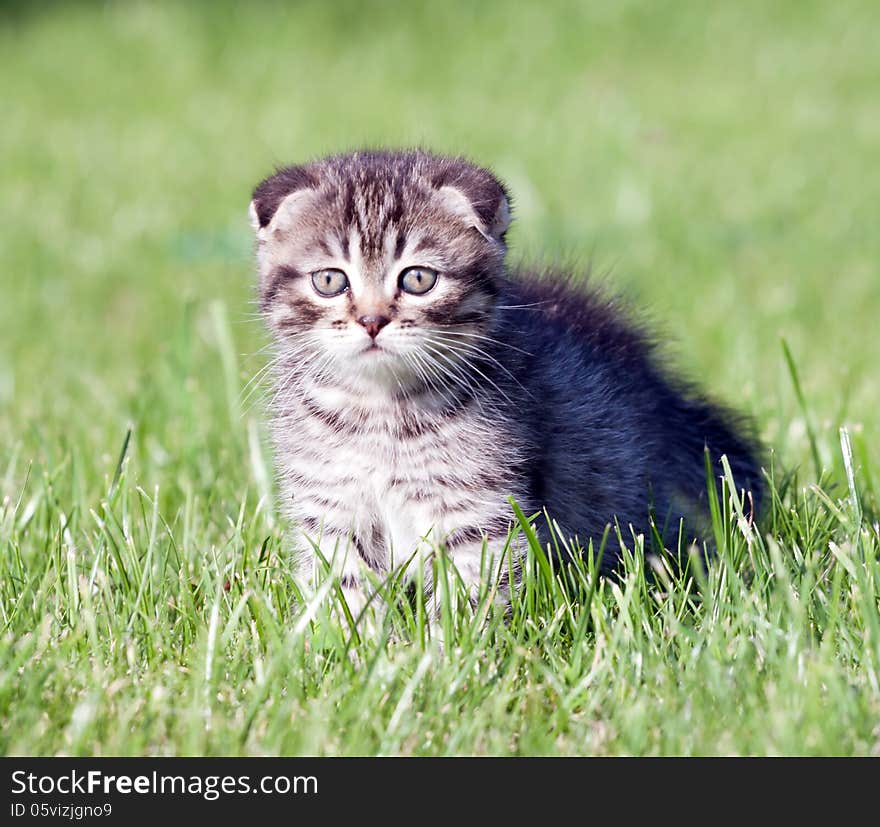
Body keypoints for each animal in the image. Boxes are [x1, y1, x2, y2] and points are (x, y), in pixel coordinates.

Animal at [249, 149, 764, 616]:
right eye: (330, 281)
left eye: (418, 279)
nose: (372, 321)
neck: (379, 412)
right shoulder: (331, 504)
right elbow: (346, 589)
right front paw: (355, 646)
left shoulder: (477, 505)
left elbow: (469, 596)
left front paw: (451, 653)